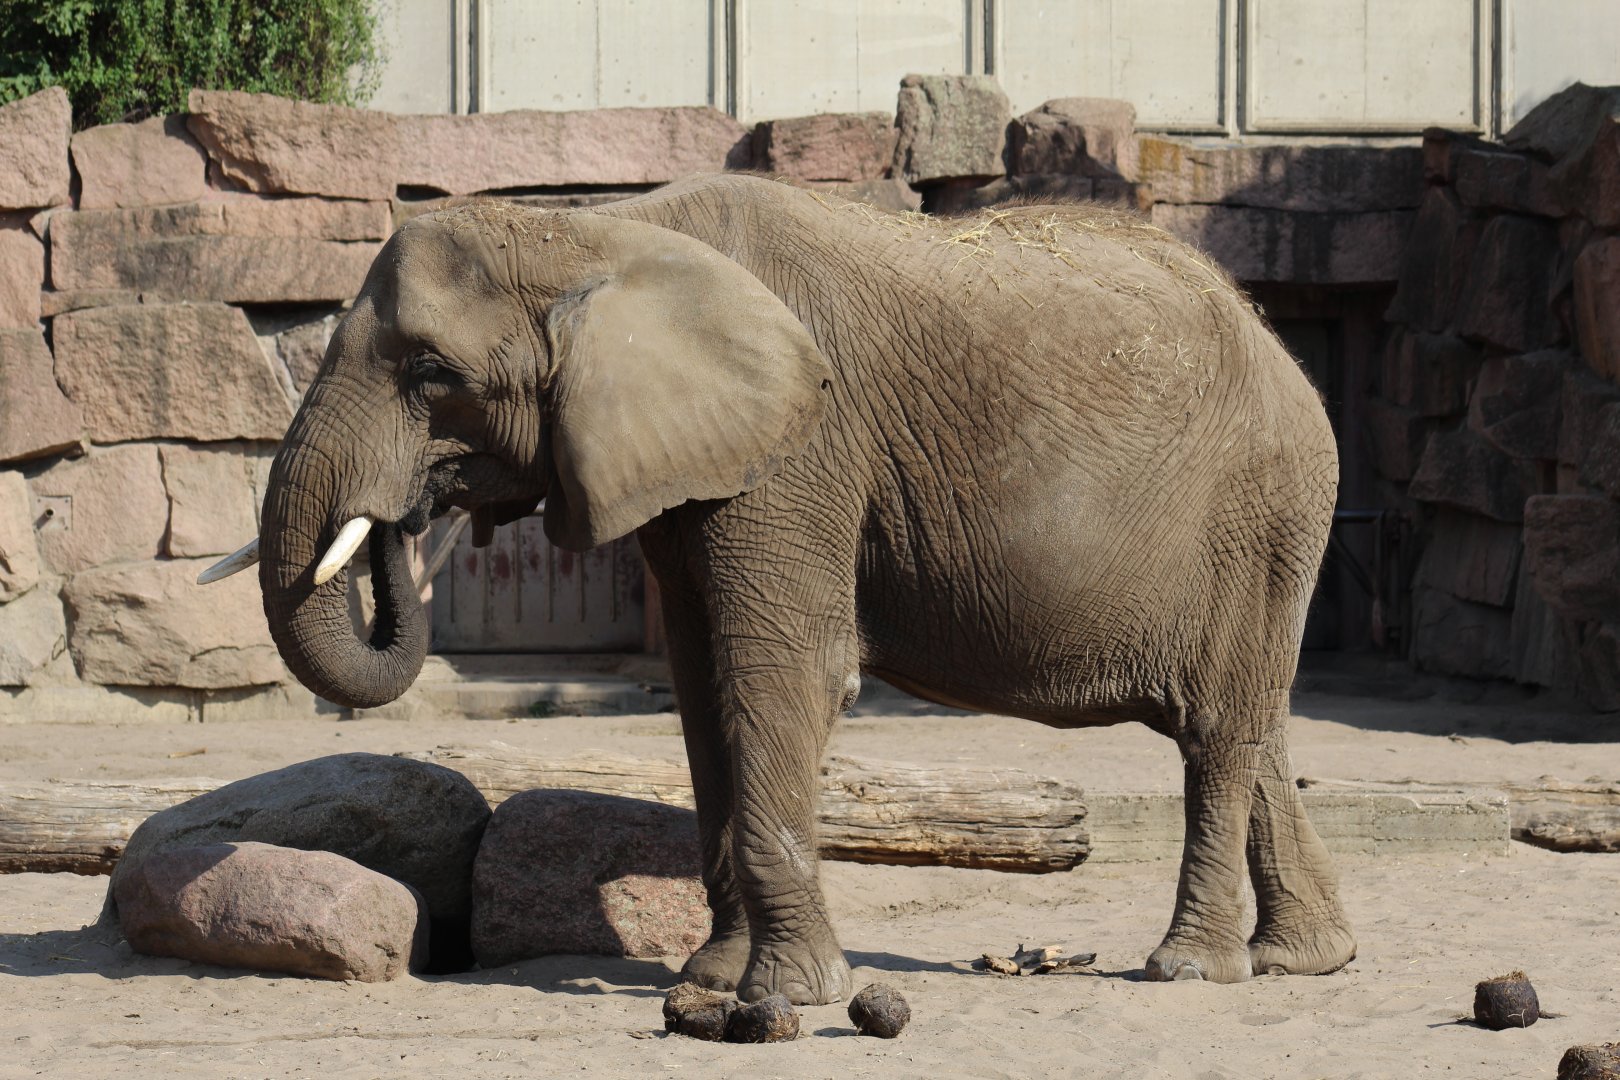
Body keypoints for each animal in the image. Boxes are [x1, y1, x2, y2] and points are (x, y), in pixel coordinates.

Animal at [201, 173, 1356, 1005]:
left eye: (431, 375)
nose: (413, 514)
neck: (599, 231)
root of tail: (1274, 338)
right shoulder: (695, 462)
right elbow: (704, 682)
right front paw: (713, 982)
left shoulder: (804, 449)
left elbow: (781, 671)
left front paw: (787, 999)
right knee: (1252, 724)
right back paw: (1308, 961)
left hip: (1263, 512)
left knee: (1217, 731)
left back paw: (1192, 971)